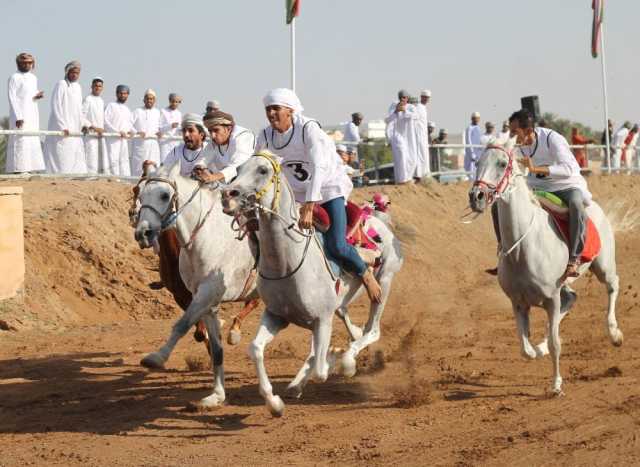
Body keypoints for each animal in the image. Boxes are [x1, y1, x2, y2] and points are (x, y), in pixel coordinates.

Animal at [134, 165, 258, 410]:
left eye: (164, 195)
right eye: (139, 194)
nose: (142, 233)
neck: (205, 238)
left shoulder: (206, 294)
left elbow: (182, 325)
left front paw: (157, 357)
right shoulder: (203, 299)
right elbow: (216, 348)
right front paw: (217, 395)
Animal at [222, 151, 402, 416]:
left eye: (263, 170)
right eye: (239, 169)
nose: (228, 196)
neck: (288, 265)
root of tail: (377, 217)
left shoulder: (322, 319)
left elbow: (320, 370)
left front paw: (338, 358)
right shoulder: (277, 315)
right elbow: (255, 349)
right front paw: (275, 403)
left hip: (384, 283)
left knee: (373, 330)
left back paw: (347, 359)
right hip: (338, 306)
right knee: (346, 327)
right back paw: (297, 384)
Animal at [468, 141, 624, 396]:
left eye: (502, 163)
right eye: (477, 162)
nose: (477, 196)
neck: (523, 249)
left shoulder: (551, 298)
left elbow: (556, 343)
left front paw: (556, 385)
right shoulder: (518, 302)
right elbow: (526, 349)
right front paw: (538, 349)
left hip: (603, 266)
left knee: (612, 286)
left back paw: (614, 333)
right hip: (564, 288)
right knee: (571, 299)